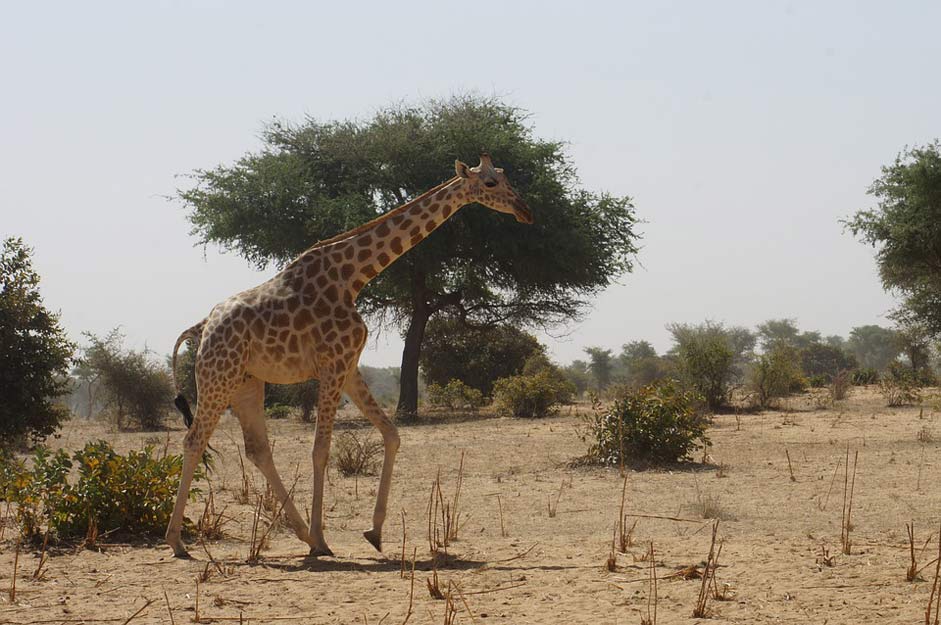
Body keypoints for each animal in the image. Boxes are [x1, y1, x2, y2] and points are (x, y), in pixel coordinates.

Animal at [163, 154, 528, 560]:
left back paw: (302, 535)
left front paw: (374, 531)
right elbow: (321, 450)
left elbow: (392, 434)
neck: (352, 277)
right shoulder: (333, 364)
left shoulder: (349, 366)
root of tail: (201, 327)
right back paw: (178, 541)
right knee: (194, 442)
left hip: (246, 383)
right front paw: (326, 539)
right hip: (217, 377)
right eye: (491, 183)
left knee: (258, 450)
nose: (524, 210)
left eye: (505, 176)